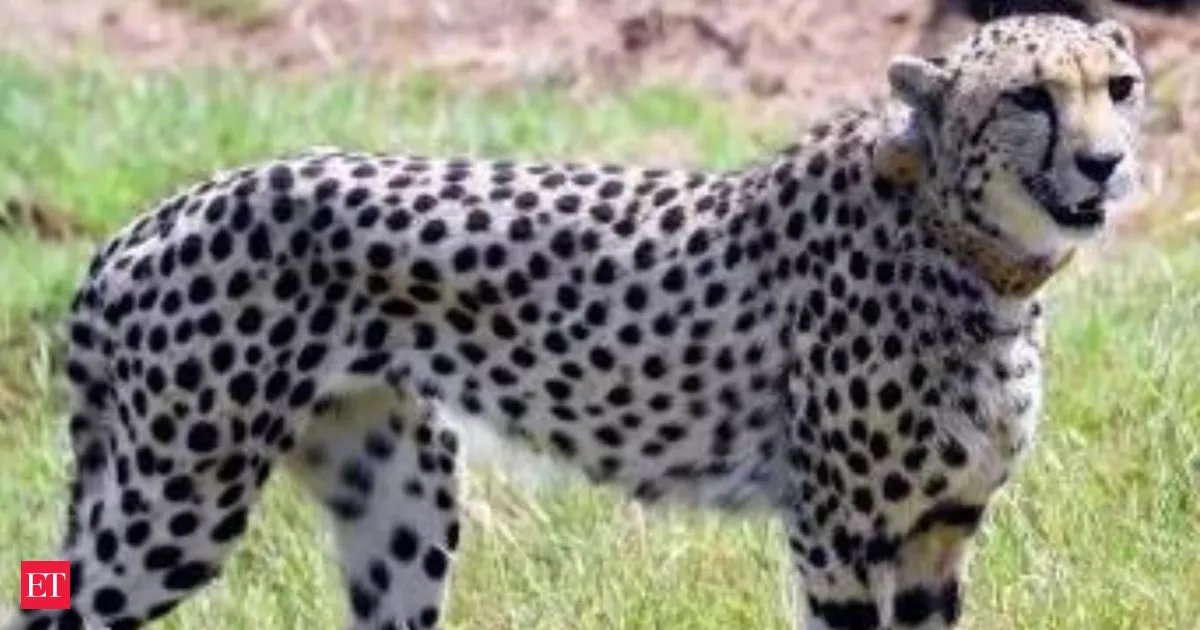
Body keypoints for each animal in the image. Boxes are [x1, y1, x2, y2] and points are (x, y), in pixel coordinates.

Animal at [5, 13, 1145, 630]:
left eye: (1121, 87)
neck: (974, 253)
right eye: (1030, 96)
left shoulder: (940, 531)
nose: (1106, 162)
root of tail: (156, 214)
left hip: (401, 496)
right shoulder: (841, 530)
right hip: (177, 500)